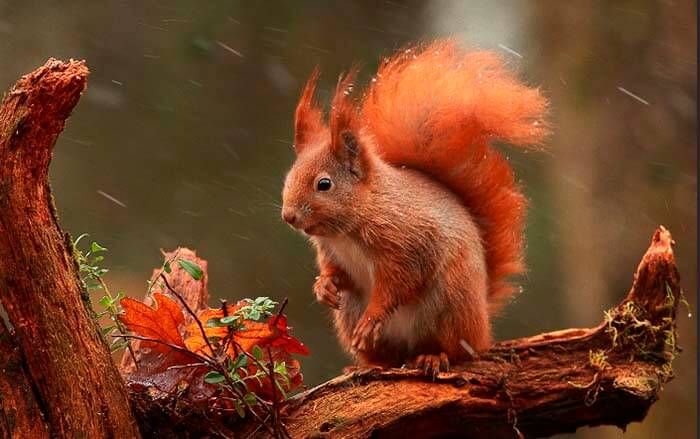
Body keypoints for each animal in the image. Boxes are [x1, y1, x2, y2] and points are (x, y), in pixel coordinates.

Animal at [281, 39, 548, 376]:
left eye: (324, 184)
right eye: (288, 177)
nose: (288, 216)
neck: (349, 228)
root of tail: (482, 326)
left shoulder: (409, 243)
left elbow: (399, 283)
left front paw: (373, 316)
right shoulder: (333, 253)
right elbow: (337, 272)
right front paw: (324, 286)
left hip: (448, 304)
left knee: (451, 349)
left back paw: (432, 357)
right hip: (353, 311)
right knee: (388, 354)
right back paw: (369, 364)